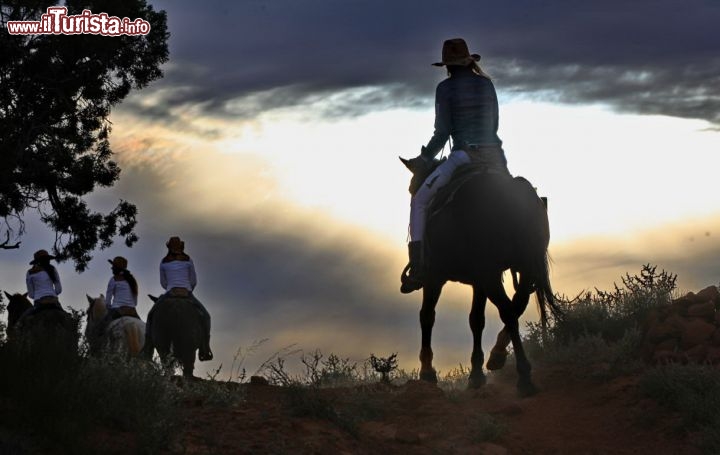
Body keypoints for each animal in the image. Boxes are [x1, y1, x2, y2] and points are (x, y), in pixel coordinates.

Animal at [402, 156, 560, 396]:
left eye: (412, 188)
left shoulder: (435, 278)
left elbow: (427, 316)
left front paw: (427, 372)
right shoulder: (479, 281)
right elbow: (476, 320)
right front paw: (476, 375)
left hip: (491, 275)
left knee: (509, 312)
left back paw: (524, 377)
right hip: (521, 270)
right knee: (517, 305)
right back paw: (498, 355)